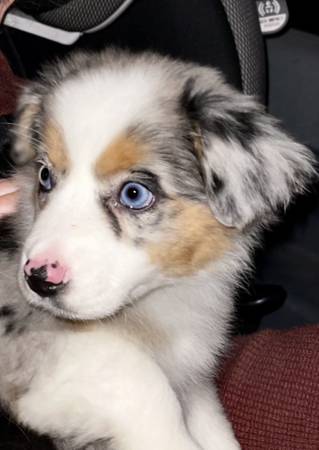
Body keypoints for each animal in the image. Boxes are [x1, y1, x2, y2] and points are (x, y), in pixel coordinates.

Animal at [0, 47, 316, 448]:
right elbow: (142, 377)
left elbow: (212, 423)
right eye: (45, 176)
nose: (39, 279)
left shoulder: (193, 370)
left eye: (134, 193)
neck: (159, 301)